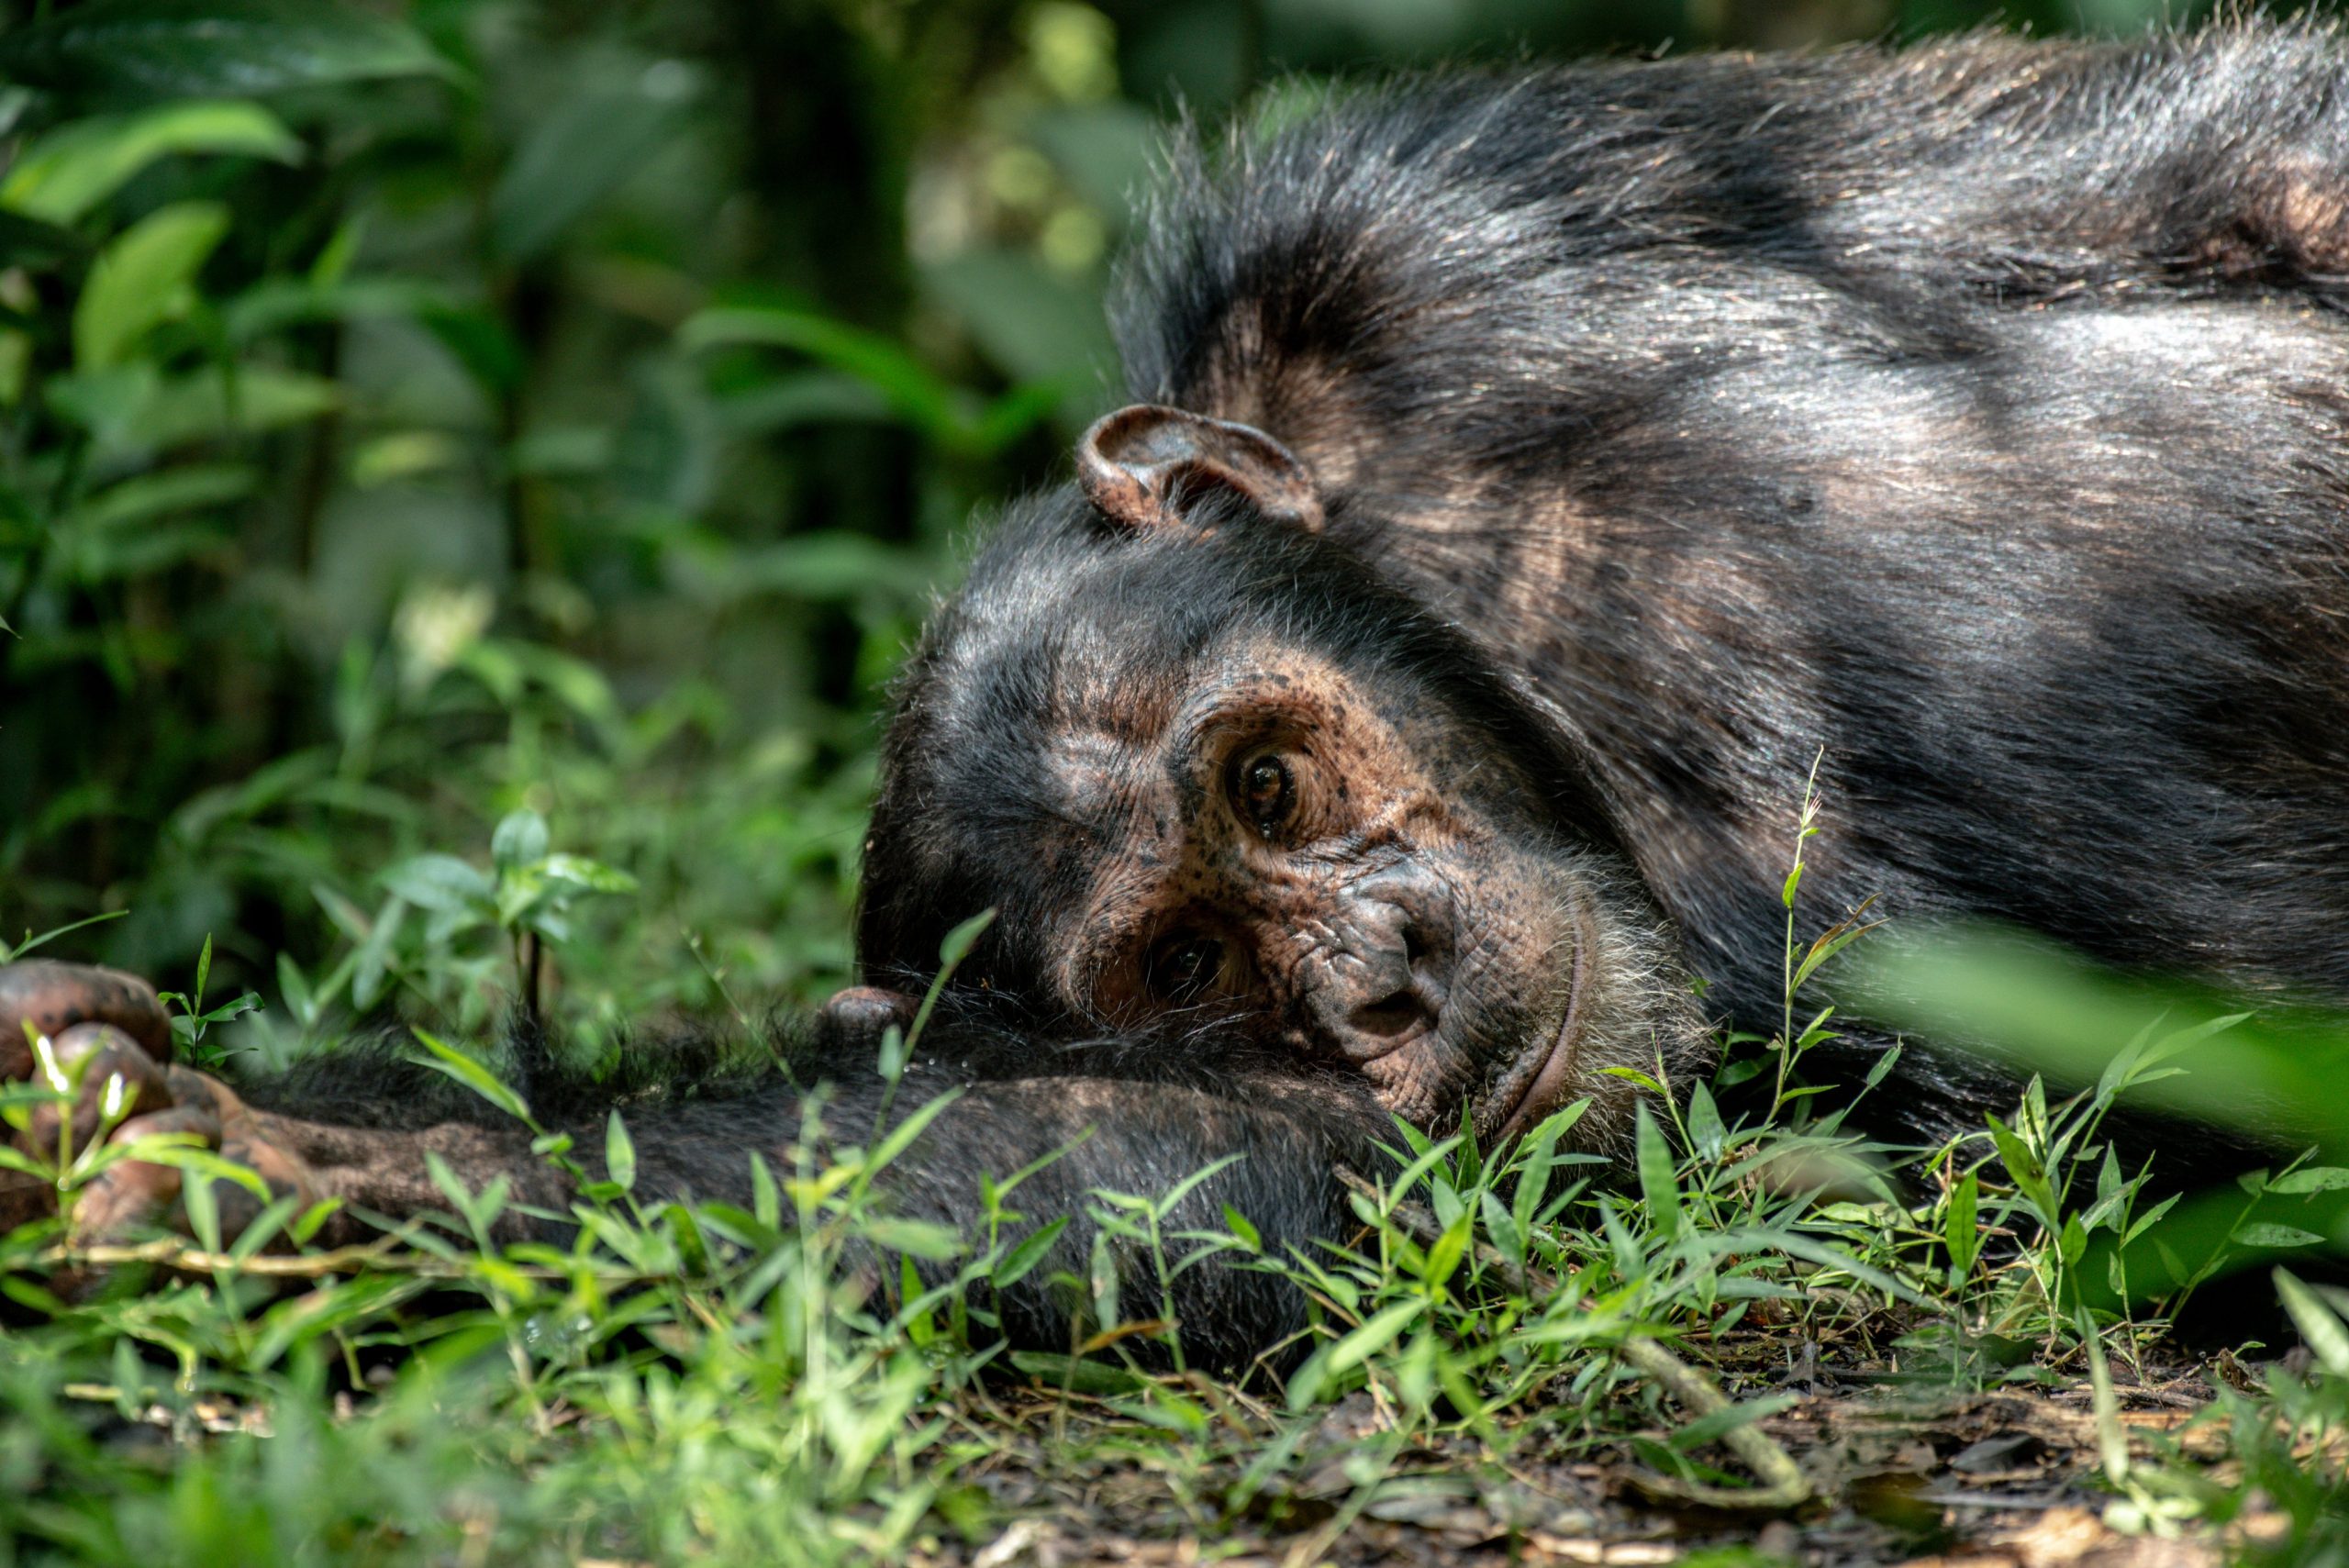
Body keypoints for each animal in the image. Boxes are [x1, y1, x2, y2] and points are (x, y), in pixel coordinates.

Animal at [5, 22, 2349, 1363]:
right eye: (1196, 964)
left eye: (1269, 785)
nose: (1388, 968)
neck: (1545, 689)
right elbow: (1182, 1164)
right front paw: (304, 1166)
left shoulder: (1424, 230)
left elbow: (2216, 160)